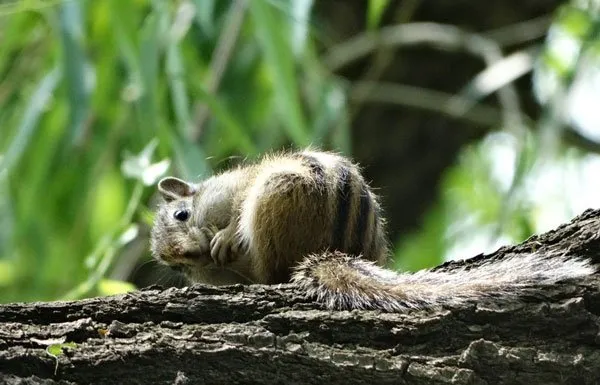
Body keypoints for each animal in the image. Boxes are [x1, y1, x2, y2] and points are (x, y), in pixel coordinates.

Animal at [151, 148, 596, 310]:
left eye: (182, 215)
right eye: (174, 267)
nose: (189, 255)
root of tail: (332, 249)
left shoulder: (238, 191)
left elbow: (233, 213)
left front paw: (224, 236)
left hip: (275, 195)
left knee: (271, 273)